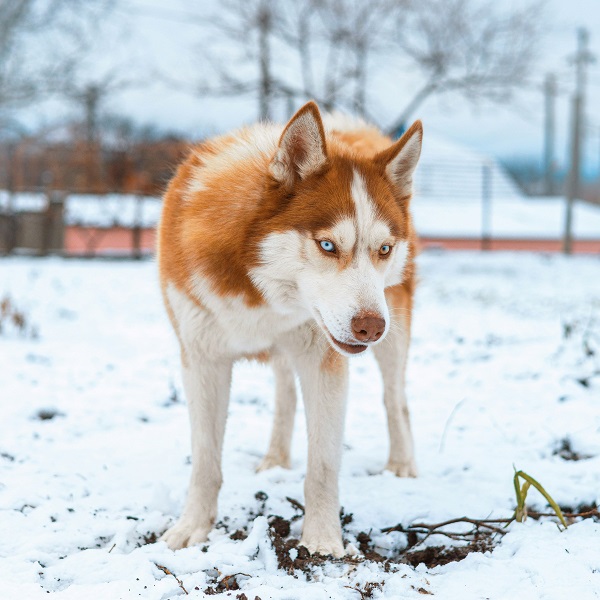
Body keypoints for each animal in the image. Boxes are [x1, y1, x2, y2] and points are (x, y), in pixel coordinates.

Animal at [158, 101, 422, 556]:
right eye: (328, 245)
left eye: (383, 249)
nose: (370, 327)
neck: (261, 291)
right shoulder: (202, 359)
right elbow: (206, 460)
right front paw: (192, 528)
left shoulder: (324, 363)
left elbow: (323, 466)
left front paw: (322, 541)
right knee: (285, 394)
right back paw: (275, 459)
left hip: (396, 327)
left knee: (395, 399)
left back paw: (401, 464)